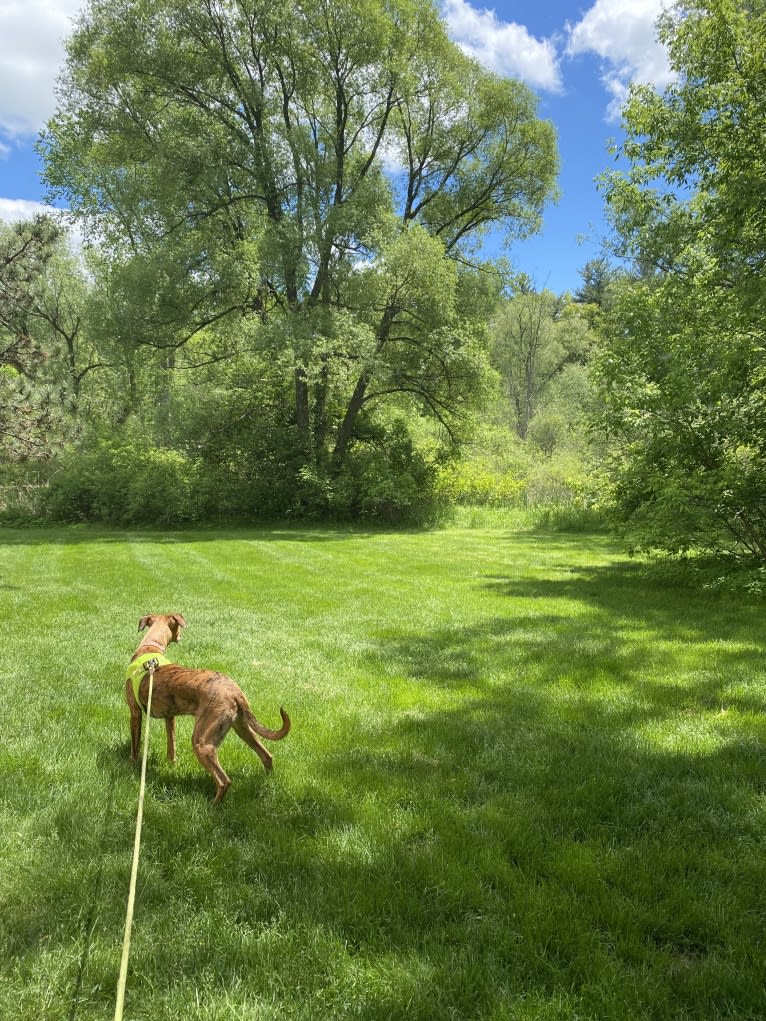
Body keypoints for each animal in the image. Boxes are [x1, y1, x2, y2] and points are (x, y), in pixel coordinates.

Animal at [126, 608, 290, 800]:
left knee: (224, 781)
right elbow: (171, 745)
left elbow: (135, 745)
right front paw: (171, 763)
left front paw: (131, 765)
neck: (149, 648)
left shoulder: (135, 712)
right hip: (242, 727)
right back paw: (266, 783)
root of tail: (235, 692)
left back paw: (213, 803)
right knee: (267, 755)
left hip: (202, 741)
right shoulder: (170, 717)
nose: (181, 637)